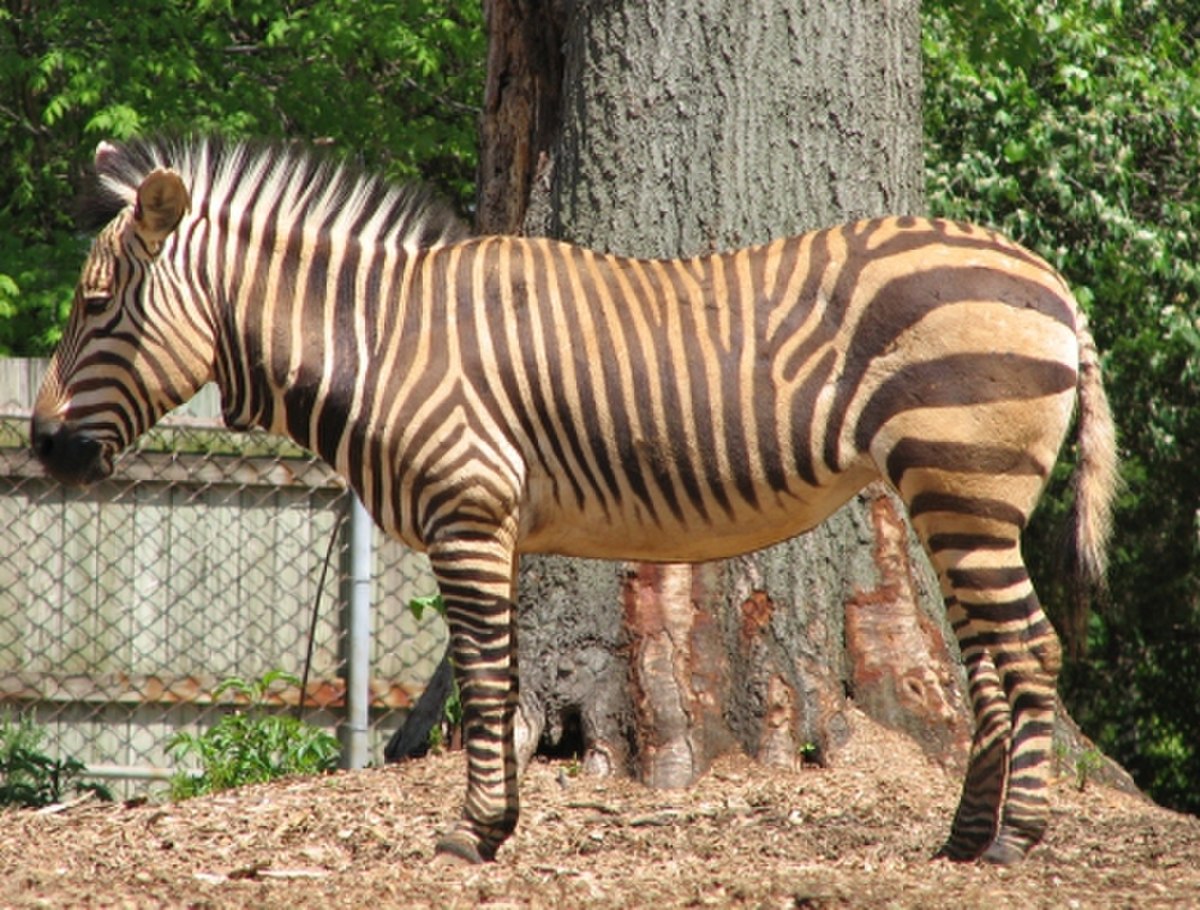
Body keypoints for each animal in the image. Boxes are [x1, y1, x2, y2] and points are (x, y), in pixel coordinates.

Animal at [32, 136, 1117, 866]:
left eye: (96, 307)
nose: (40, 446)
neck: (383, 345)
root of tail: (1054, 284)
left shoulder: (467, 516)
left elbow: (483, 680)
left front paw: (474, 832)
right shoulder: (499, 530)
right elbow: (501, 680)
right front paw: (498, 823)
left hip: (963, 482)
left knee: (1029, 650)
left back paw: (1013, 840)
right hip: (952, 496)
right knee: (992, 661)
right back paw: (963, 838)